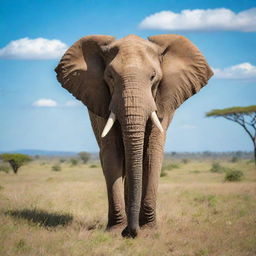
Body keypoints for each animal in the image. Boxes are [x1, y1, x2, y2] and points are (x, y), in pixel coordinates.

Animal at [55, 34, 213, 238]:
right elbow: (112, 154)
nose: (130, 233)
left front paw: (149, 229)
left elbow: (152, 154)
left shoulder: (162, 102)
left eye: (153, 77)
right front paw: (115, 230)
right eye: (110, 77)